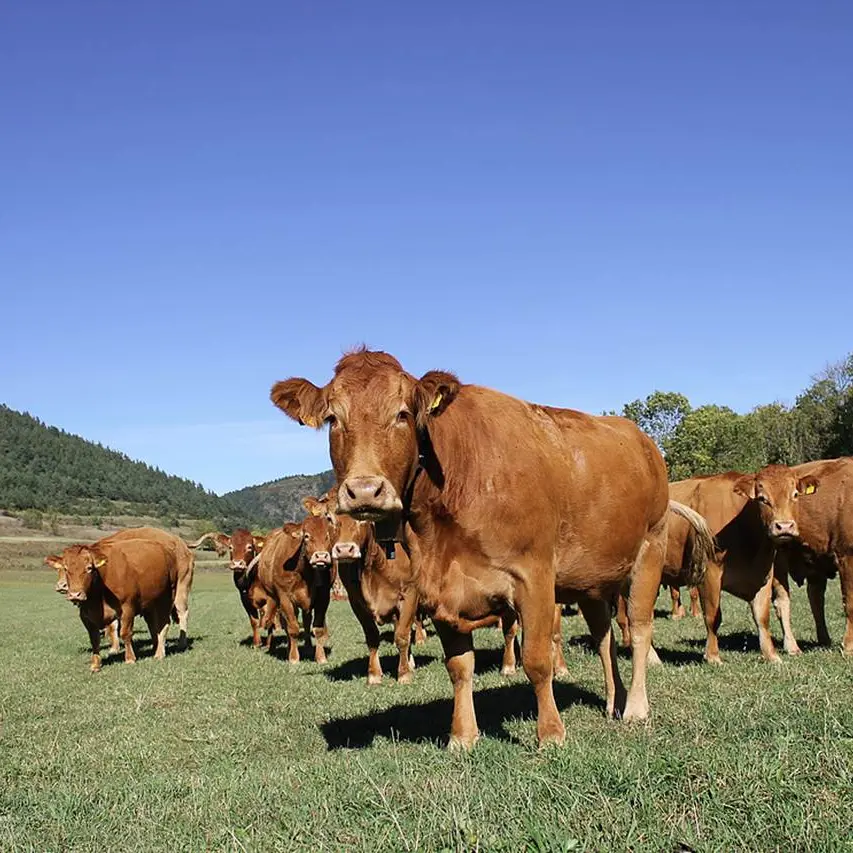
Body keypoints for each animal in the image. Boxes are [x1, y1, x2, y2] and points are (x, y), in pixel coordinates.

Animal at [46, 538, 178, 671]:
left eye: (89, 568)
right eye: (65, 568)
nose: (75, 594)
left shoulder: (127, 608)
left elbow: (125, 633)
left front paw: (130, 658)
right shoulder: (86, 616)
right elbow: (94, 639)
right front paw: (95, 664)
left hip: (166, 598)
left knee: (163, 625)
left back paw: (159, 653)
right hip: (150, 604)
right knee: (153, 626)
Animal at [271, 348, 716, 748]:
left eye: (403, 414)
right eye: (333, 418)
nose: (365, 490)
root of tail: (642, 440)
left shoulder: (534, 578)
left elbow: (536, 660)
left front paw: (550, 734)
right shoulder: (437, 589)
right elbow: (459, 667)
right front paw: (463, 736)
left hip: (648, 552)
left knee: (638, 629)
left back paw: (636, 707)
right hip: (593, 579)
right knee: (604, 638)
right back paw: (614, 701)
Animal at [660, 465, 820, 664]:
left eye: (795, 494)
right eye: (762, 498)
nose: (784, 527)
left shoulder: (764, 573)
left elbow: (762, 616)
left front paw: (771, 655)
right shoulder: (710, 572)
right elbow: (713, 616)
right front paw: (712, 656)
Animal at [771, 457, 853, 656]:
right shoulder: (847, 557)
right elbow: (850, 603)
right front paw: (848, 647)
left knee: (816, 597)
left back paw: (824, 640)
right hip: (778, 559)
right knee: (782, 601)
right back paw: (792, 646)